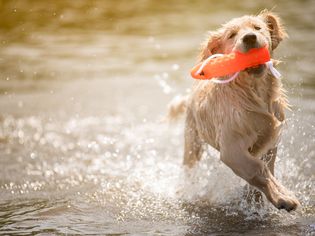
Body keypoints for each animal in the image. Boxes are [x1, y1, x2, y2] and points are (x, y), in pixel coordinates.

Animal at [170, 10, 302, 211]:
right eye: (232, 35)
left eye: (257, 28)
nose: (249, 38)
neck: (253, 92)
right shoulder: (232, 148)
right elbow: (258, 168)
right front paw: (283, 197)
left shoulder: (271, 140)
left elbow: (267, 167)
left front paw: (258, 198)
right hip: (193, 140)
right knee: (189, 165)